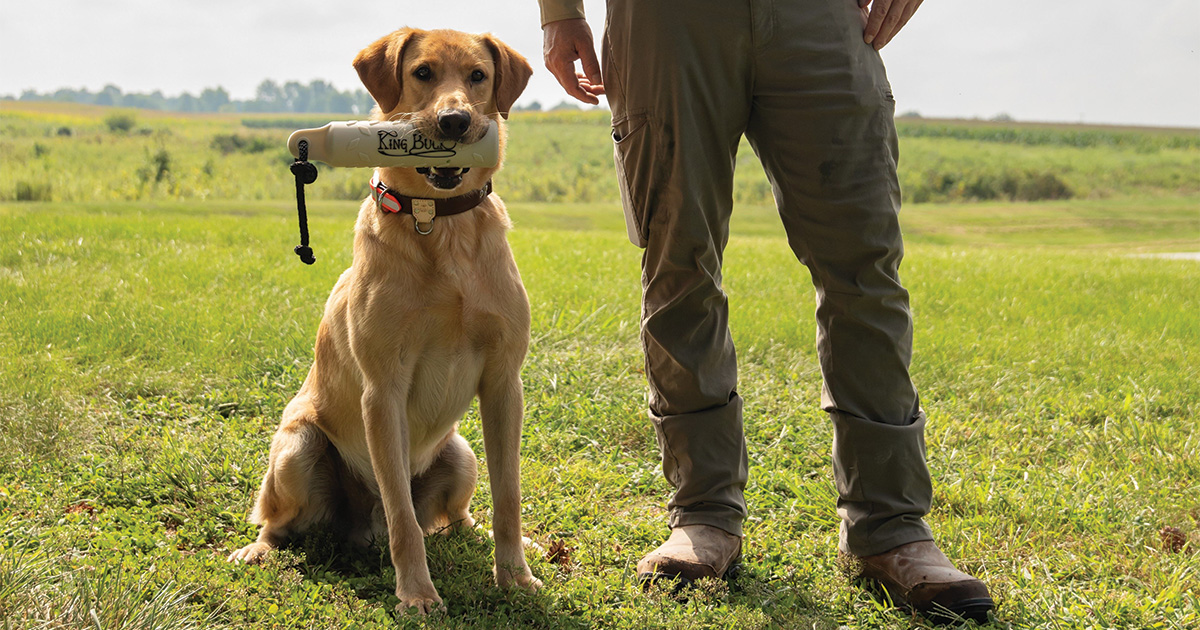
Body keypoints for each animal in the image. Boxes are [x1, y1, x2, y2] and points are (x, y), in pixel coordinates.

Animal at [226, 27, 537, 612]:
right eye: (422, 73)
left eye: (478, 76)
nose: (455, 122)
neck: (438, 227)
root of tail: (359, 528)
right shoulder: (383, 390)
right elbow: (402, 517)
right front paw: (417, 593)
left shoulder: (504, 382)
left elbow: (508, 495)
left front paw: (515, 576)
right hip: (297, 447)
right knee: (282, 521)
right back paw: (259, 549)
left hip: (461, 454)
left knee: (455, 517)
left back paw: (484, 536)